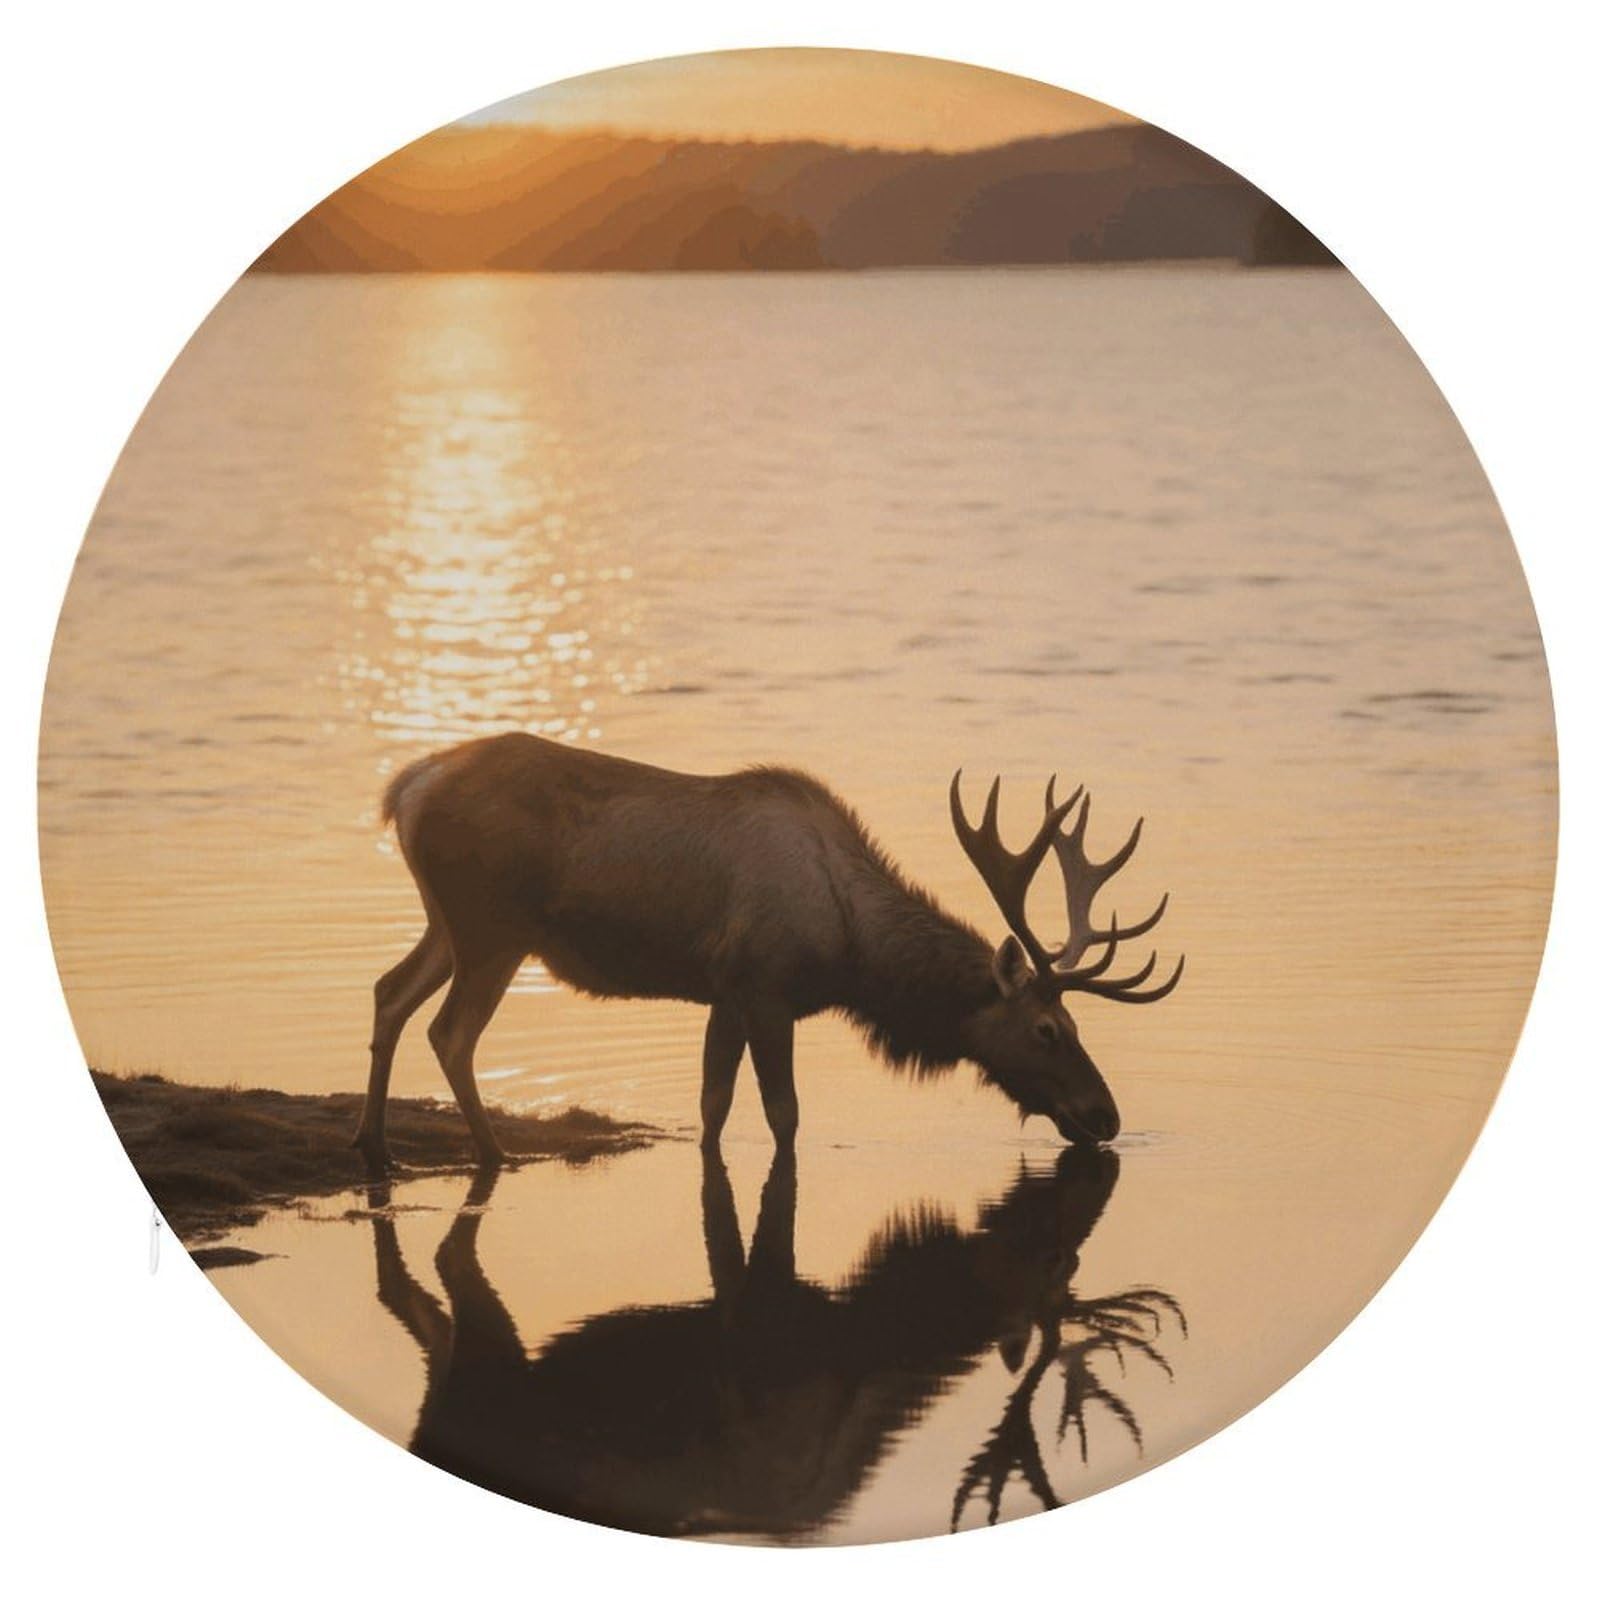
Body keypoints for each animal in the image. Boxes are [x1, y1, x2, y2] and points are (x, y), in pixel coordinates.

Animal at [353, 732, 1183, 1167]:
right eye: (1047, 1029)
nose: (1106, 1115)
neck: (852, 952)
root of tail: (407, 788)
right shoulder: (765, 988)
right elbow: (783, 1113)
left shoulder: (723, 993)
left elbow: (712, 1105)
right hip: (490, 931)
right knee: (449, 1031)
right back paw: (492, 1153)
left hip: (447, 924)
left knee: (389, 992)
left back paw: (374, 1142)